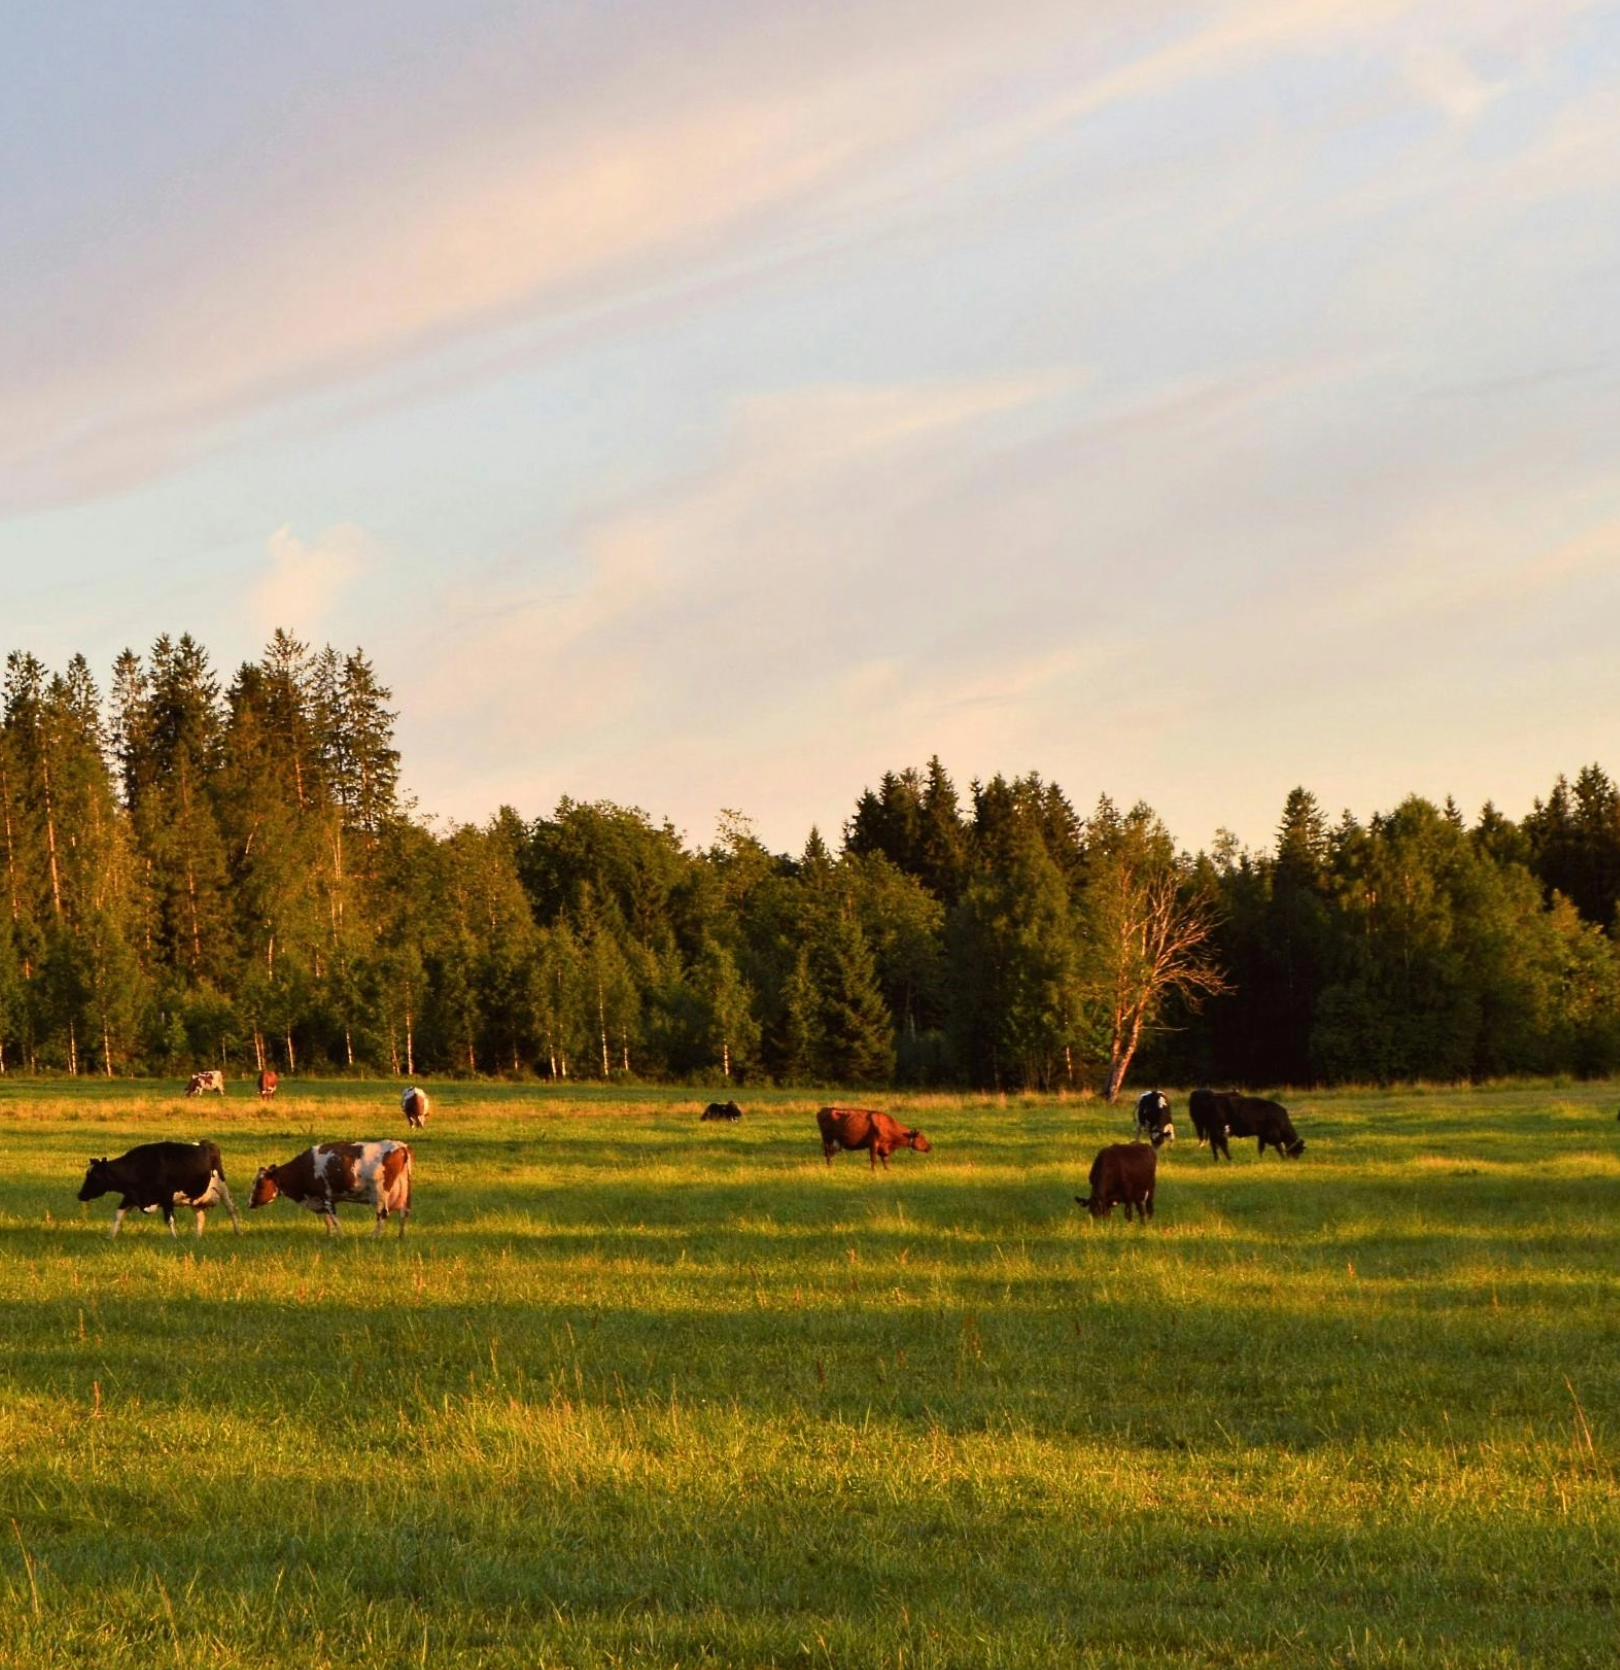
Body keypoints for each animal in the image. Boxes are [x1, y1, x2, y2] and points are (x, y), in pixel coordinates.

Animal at [75, 1135, 242, 1242]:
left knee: (232, 1209)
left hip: (222, 1186)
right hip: (195, 1197)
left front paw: (174, 1238)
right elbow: (118, 1215)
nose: (80, 1195)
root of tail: (205, 1143)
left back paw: (238, 1232)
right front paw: (110, 1237)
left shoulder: (167, 1196)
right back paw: (196, 1238)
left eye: (94, 1176)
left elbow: (169, 1219)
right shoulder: (130, 1196)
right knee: (200, 1216)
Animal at [250, 1135, 414, 1242]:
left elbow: (333, 1219)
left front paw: (341, 1236)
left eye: (260, 1184)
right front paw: (329, 1235)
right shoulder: (320, 1199)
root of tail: (401, 1146)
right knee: (403, 1212)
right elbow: (327, 1219)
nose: (249, 1203)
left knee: (382, 1214)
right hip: (403, 1192)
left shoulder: (326, 1198)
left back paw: (374, 1237)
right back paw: (400, 1236)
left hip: (380, 1194)